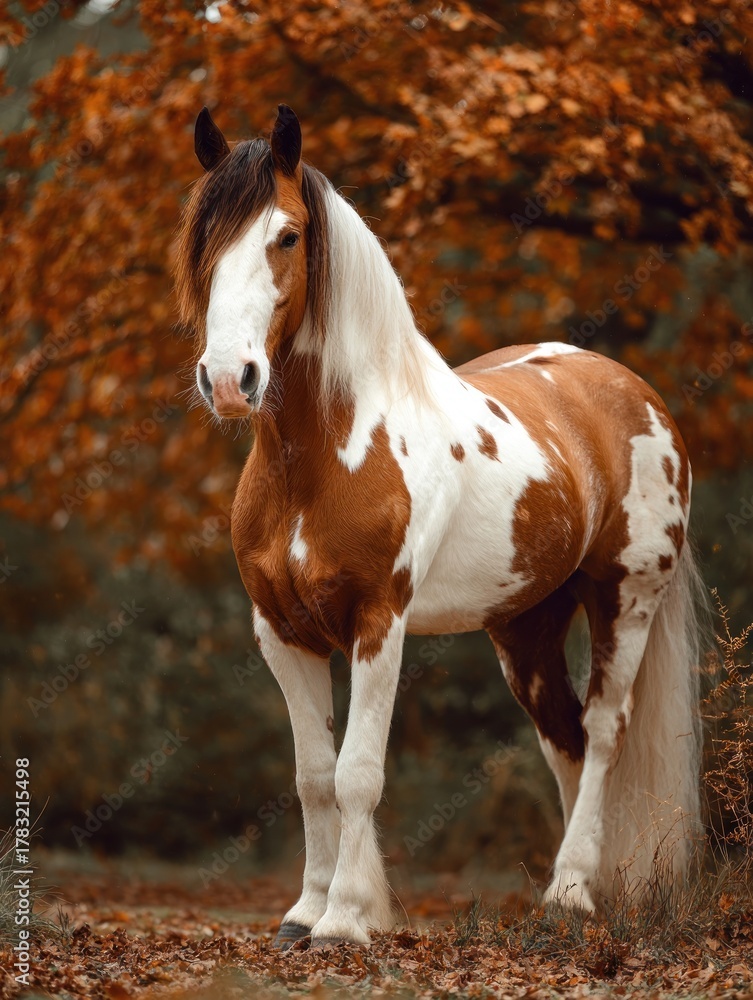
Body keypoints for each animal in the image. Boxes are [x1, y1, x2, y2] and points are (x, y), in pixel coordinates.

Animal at [175, 104, 703, 947]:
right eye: (202, 236)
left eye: (286, 235)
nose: (229, 380)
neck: (324, 453)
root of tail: (631, 392)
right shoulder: (281, 632)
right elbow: (312, 777)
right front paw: (303, 912)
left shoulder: (378, 623)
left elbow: (357, 774)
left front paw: (346, 919)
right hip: (524, 626)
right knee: (564, 734)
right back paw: (565, 890)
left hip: (625, 599)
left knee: (602, 731)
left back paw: (572, 893)